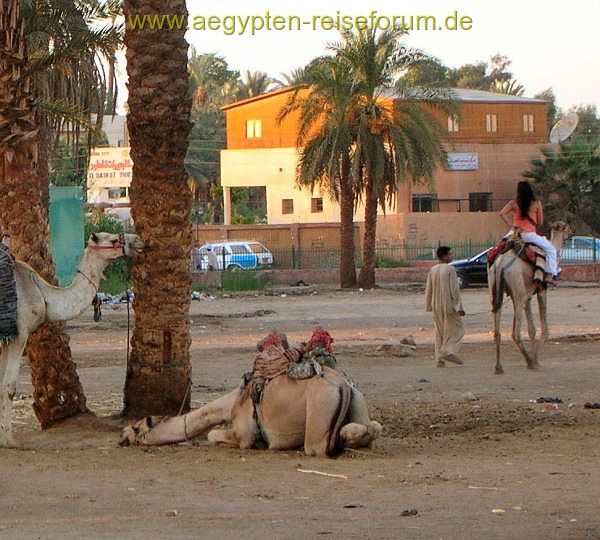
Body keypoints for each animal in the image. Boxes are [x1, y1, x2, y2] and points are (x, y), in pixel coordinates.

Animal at [0, 230, 143, 446]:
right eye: (113, 240)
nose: (138, 240)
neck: (42, 293)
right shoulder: (19, 333)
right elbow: (8, 387)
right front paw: (9, 440)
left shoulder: (4, 340)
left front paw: (2, 437)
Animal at [121, 334, 382, 456]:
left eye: (136, 427)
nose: (122, 437)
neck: (232, 403)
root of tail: (342, 385)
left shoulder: (244, 431)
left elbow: (214, 435)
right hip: (357, 400)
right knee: (371, 428)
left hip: (319, 408)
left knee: (317, 446)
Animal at [488, 221, 568, 374]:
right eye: (567, 227)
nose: (571, 233)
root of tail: (500, 264)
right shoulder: (542, 290)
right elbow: (544, 328)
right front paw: (536, 360)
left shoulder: (528, 296)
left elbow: (532, 329)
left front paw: (534, 358)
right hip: (518, 293)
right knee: (515, 332)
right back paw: (530, 362)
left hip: (495, 290)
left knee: (497, 330)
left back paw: (498, 367)